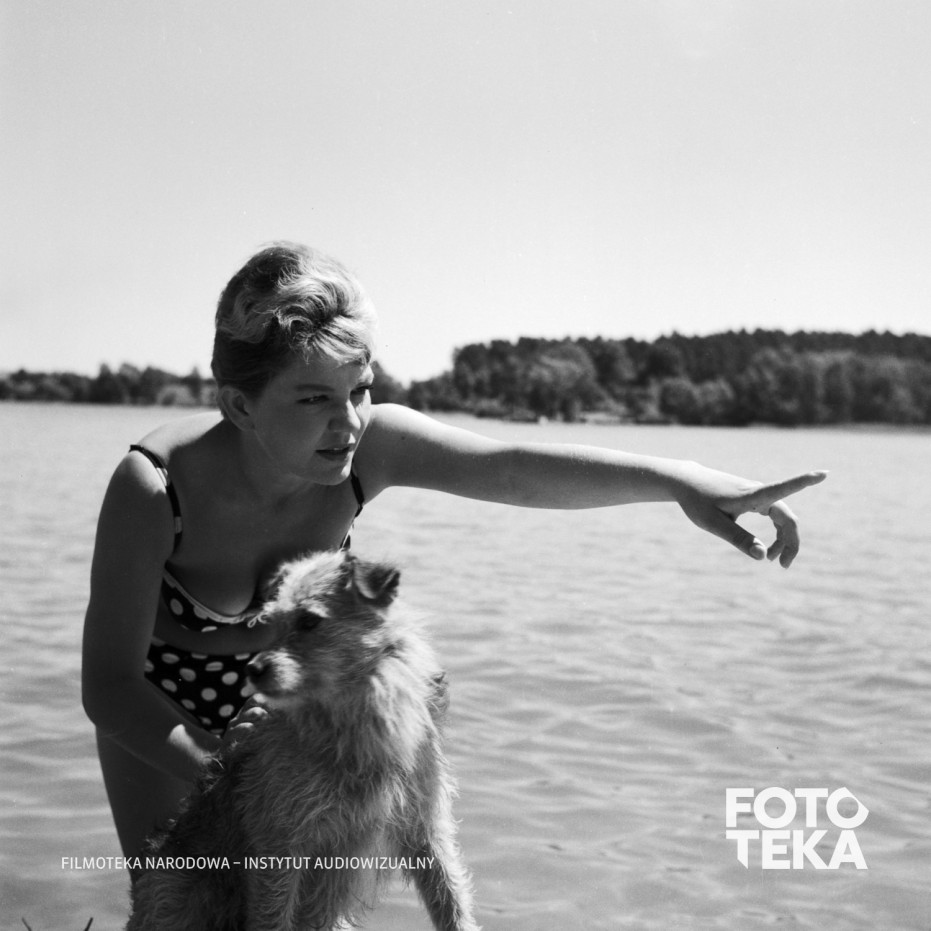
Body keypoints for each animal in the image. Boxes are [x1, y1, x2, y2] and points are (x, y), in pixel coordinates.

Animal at [127, 550, 479, 931]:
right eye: (273, 624)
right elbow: (274, 914)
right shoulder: (282, 844)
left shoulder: (425, 829)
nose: (252, 669)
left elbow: (450, 900)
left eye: (309, 621)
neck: (353, 726)